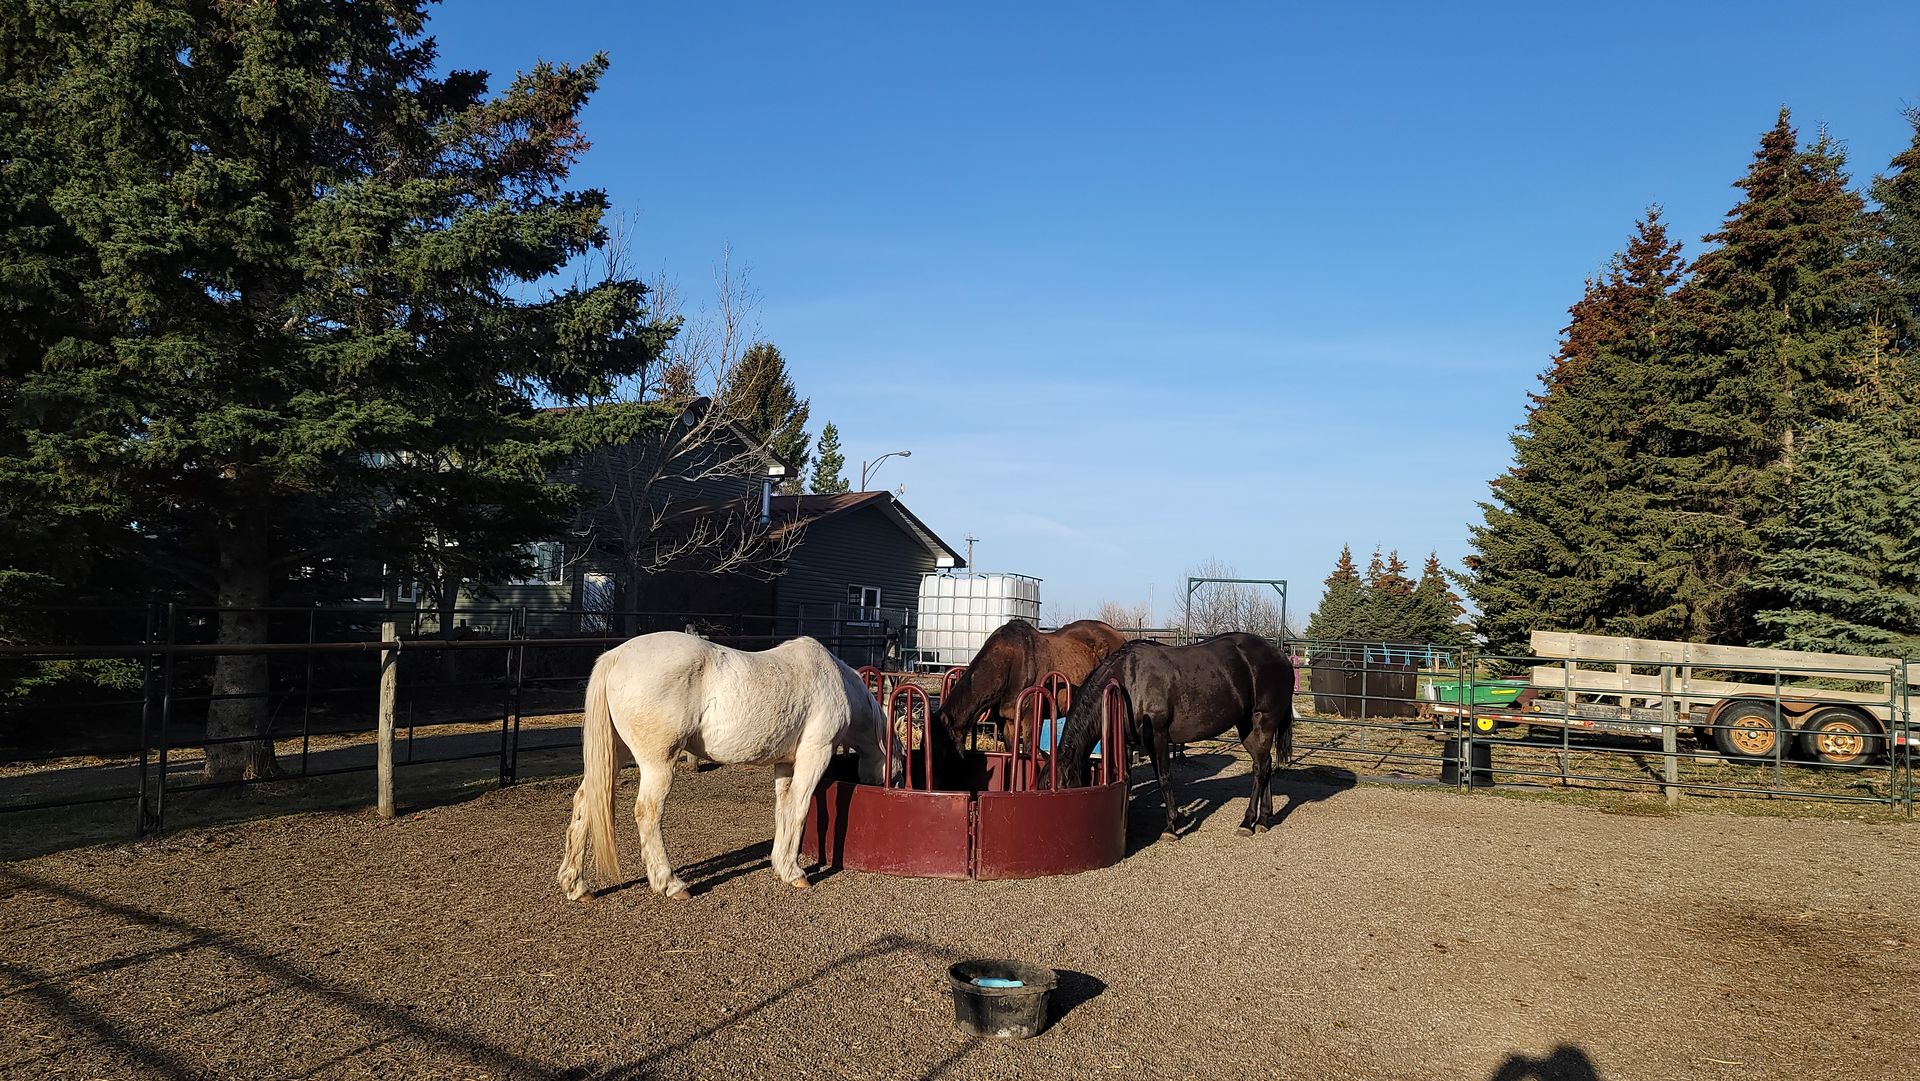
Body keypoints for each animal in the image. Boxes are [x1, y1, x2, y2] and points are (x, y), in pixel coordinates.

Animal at [556, 632, 903, 901]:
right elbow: (800, 808)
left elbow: (784, 809)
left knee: (585, 802)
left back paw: (576, 886)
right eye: (899, 773)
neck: (834, 681)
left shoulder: (785, 765)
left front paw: (780, 863)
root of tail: (615, 656)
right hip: (657, 763)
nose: (894, 788)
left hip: (615, 754)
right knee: (648, 813)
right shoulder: (814, 755)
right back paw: (671, 884)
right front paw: (795, 873)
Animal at [934, 619, 1127, 753]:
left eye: (940, 746)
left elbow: (1027, 751)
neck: (1011, 664)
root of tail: (1121, 638)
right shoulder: (1006, 722)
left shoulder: (1031, 717)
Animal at [1055, 632, 1294, 839]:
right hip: (1247, 728)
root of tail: (1281, 656)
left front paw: (1171, 825)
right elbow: (1128, 779)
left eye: (1063, 784)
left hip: (1263, 723)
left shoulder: (1158, 736)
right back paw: (1264, 819)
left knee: (1260, 768)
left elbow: (1164, 777)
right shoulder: (1128, 742)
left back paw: (1247, 822)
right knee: (1265, 764)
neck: (1129, 681)